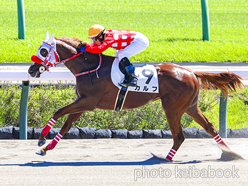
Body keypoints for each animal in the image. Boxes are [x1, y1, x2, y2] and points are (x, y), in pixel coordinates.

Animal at [27, 32, 242, 161]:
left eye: (43, 50)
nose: (31, 70)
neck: (89, 68)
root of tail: (191, 72)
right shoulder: (83, 103)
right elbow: (66, 125)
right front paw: (45, 148)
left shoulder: (88, 102)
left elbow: (59, 111)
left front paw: (41, 137)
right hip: (190, 106)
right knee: (209, 127)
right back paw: (231, 153)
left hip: (172, 108)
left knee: (179, 136)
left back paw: (166, 158)